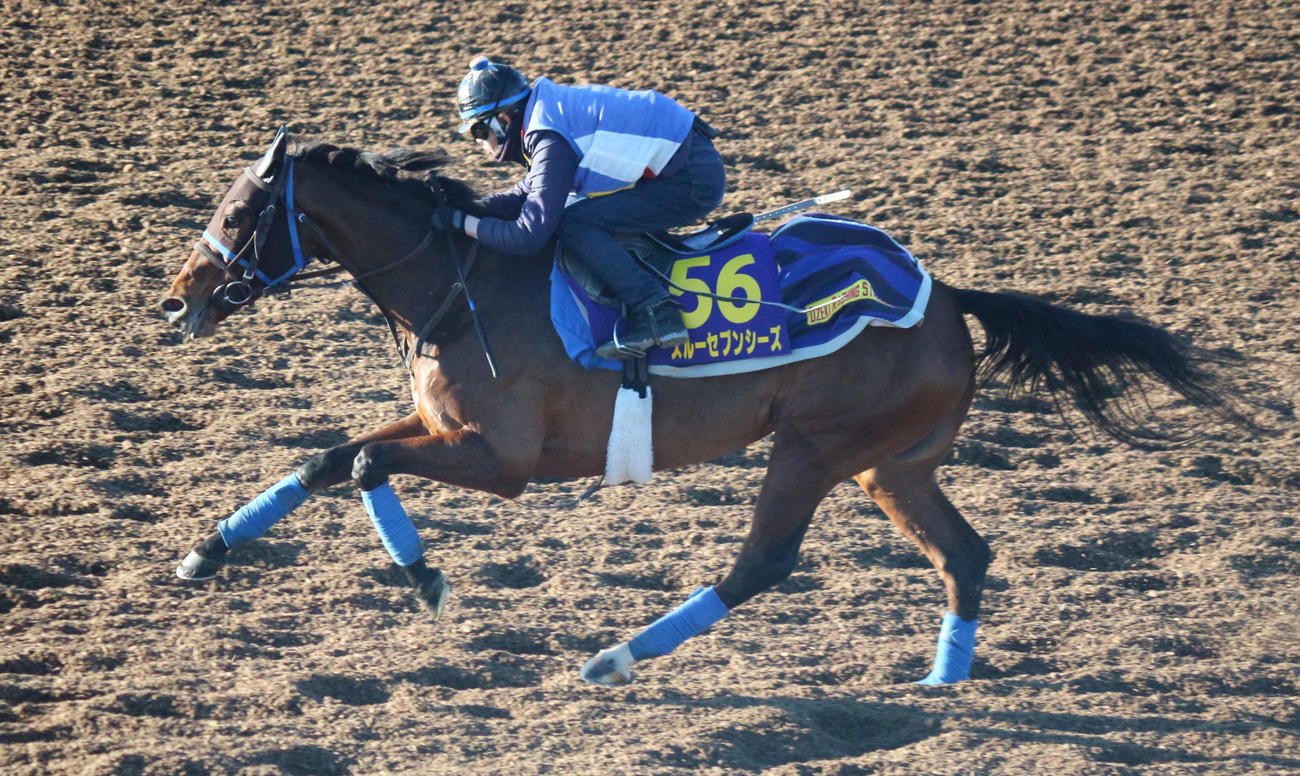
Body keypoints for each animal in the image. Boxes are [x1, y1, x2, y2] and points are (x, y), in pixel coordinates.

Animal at [159, 129, 1253, 686]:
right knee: (965, 554)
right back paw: (942, 682)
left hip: (815, 446)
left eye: (241, 213)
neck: (463, 278)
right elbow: (324, 457)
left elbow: (362, 463)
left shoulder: (500, 459)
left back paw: (614, 656)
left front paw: (426, 577)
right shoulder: (443, 427)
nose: (176, 300)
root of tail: (946, 295)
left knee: (762, 562)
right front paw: (205, 551)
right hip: (890, 462)